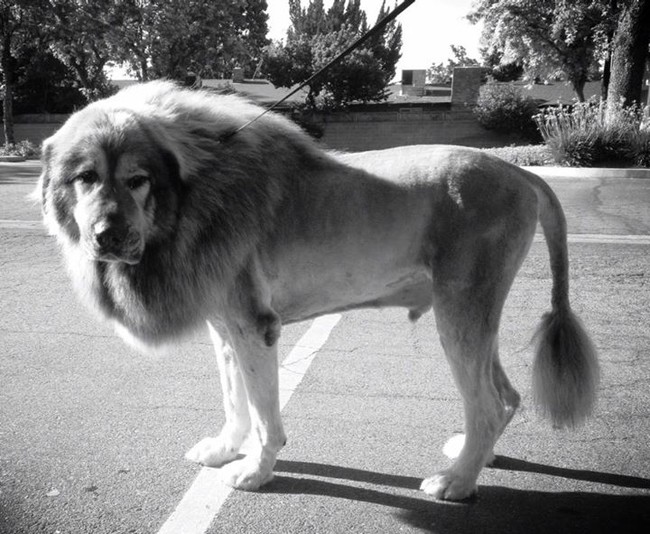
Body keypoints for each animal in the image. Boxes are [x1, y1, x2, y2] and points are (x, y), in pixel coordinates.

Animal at [33, 80, 596, 502]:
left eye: (137, 179)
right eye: (85, 177)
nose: (107, 235)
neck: (194, 196)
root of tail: (520, 171)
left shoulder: (254, 327)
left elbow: (265, 417)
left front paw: (255, 472)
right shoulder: (224, 327)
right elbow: (234, 402)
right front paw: (223, 449)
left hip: (459, 314)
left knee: (488, 404)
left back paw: (457, 482)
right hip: (475, 315)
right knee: (506, 396)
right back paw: (472, 457)